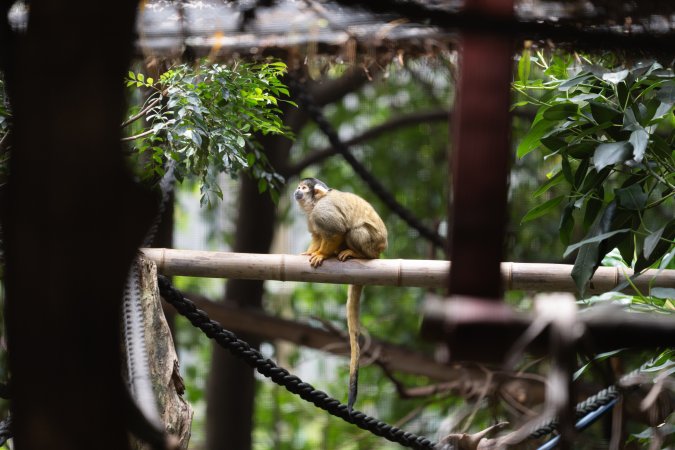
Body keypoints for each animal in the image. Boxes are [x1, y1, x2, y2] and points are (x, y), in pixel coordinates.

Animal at [293, 177, 388, 413]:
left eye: (303, 188)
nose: (297, 190)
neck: (315, 203)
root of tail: (380, 252)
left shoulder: (321, 212)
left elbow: (336, 231)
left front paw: (321, 254)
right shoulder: (312, 216)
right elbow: (318, 234)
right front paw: (311, 251)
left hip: (373, 246)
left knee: (354, 231)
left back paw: (356, 253)